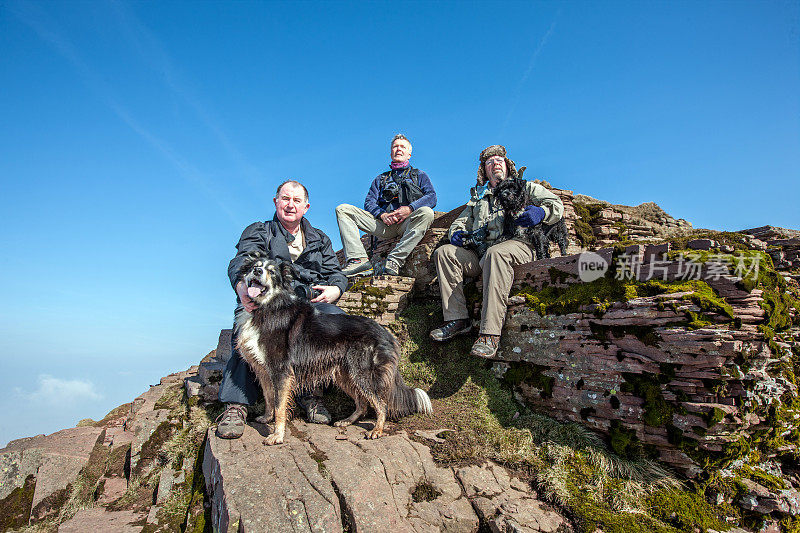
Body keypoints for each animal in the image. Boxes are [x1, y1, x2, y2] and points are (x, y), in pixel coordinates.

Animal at [234, 251, 432, 442]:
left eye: (272, 272)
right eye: (254, 266)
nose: (257, 271)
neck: (267, 306)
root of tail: (386, 333)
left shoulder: (280, 371)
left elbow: (279, 406)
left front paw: (277, 435)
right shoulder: (263, 370)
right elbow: (269, 398)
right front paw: (266, 418)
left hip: (362, 373)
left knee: (380, 403)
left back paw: (376, 430)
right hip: (345, 375)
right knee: (362, 403)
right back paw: (347, 421)